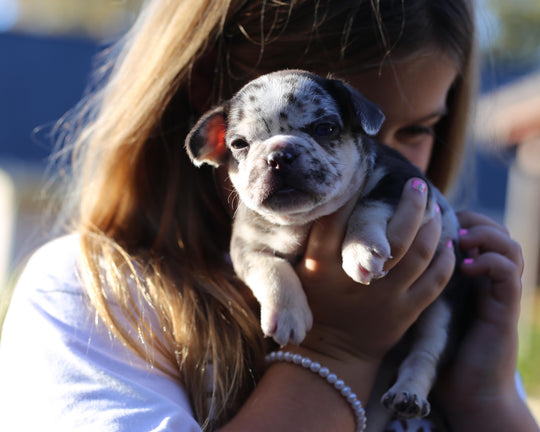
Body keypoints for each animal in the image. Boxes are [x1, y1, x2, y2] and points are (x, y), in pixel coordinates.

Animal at [186, 71, 464, 426]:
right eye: (239, 144)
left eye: (325, 128)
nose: (279, 155)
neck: (301, 220)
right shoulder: (246, 247)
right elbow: (271, 270)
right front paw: (287, 314)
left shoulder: (408, 184)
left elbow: (369, 202)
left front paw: (361, 249)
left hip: (446, 307)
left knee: (426, 353)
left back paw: (408, 394)